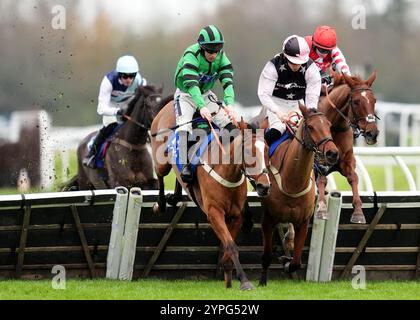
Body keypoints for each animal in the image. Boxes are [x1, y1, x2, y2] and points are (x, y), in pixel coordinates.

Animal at [151, 100, 272, 290]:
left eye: (266, 150)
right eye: (248, 152)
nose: (264, 186)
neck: (227, 171)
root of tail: (169, 103)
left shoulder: (235, 215)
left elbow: (229, 246)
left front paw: (229, 278)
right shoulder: (214, 212)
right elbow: (231, 246)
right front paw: (244, 281)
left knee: (178, 177)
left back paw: (175, 196)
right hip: (162, 160)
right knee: (161, 175)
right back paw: (161, 203)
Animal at [258, 103, 340, 284]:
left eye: (329, 125)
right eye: (310, 126)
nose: (332, 153)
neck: (292, 183)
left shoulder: (303, 221)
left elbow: (296, 262)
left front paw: (286, 261)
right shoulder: (268, 218)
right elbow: (266, 255)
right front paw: (262, 282)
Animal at [316, 71, 378, 224]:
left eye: (374, 100)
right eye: (355, 102)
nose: (372, 133)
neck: (334, 126)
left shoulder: (347, 160)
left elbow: (354, 177)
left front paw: (358, 212)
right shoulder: (318, 160)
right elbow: (321, 179)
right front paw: (321, 208)